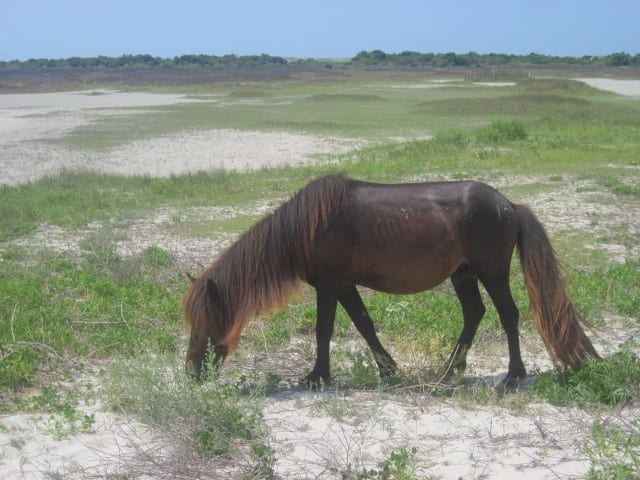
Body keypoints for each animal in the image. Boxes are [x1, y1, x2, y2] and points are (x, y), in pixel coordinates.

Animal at [181, 174, 600, 388]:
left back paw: (513, 376)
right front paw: (388, 370)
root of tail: (510, 206)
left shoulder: (330, 286)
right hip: (463, 274)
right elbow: (365, 326)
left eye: (206, 322)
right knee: (474, 314)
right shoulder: (344, 286)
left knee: (508, 315)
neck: (307, 227)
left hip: (492, 272)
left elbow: (323, 330)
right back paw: (450, 370)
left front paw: (317, 376)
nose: (191, 373)